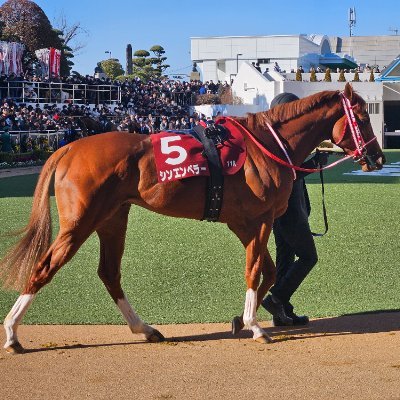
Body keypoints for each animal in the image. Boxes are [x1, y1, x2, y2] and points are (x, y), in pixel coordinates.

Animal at [0, 84, 386, 354]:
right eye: (364, 118)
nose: (378, 158)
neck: (267, 145)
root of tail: (68, 148)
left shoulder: (244, 223)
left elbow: (269, 270)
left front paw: (244, 318)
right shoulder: (258, 220)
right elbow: (256, 270)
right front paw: (255, 325)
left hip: (112, 218)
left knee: (109, 273)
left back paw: (146, 329)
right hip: (80, 222)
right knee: (44, 267)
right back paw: (13, 333)